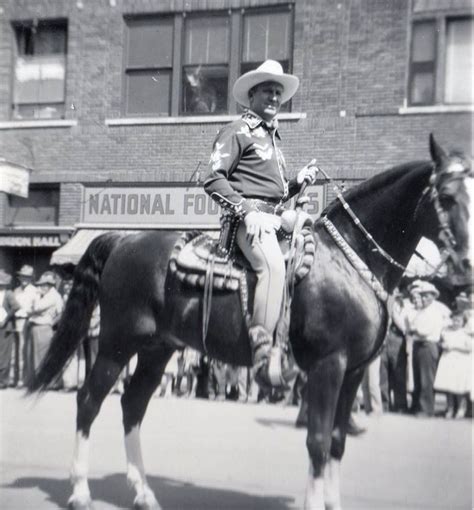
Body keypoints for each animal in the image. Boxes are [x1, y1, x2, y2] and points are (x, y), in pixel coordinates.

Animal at [26, 135, 470, 510]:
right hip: (118, 343)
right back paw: (80, 492)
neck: (349, 259)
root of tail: (122, 239)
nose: (466, 267)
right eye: (448, 196)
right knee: (89, 402)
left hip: (158, 349)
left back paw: (144, 493)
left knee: (132, 406)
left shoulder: (355, 371)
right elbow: (318, 441)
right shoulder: (328, 366)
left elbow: (338, 441)